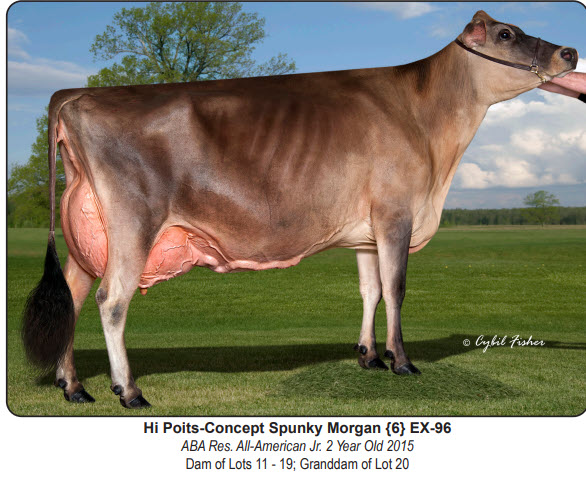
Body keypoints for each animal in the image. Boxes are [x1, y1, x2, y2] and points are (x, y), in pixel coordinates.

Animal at [22, 11, 578, 408]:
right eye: (506, 33)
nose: (570, 51)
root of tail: (75, 95)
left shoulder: (366, 229)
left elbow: (371, 290)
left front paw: (368, 357)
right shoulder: (395, 213)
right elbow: (397, 289)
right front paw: (401, 362)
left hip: (89, 232)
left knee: (73, 296)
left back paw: (74, 387)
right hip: (133, 220)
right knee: (111, 301)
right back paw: (129, 391)